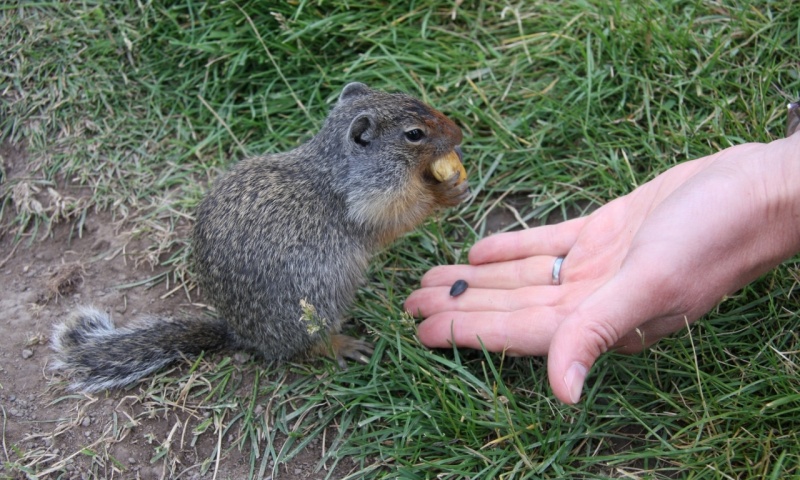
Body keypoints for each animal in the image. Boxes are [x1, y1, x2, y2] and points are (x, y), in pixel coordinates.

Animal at [50, 81, 468, 390]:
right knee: (308, 348)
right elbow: (401, 217)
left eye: (413, 98)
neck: (335, 169)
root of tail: (243, 335)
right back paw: (343, 346)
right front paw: (443, 191)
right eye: (414, 134)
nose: (459, 132)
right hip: (318, 303)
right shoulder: (372, 203)